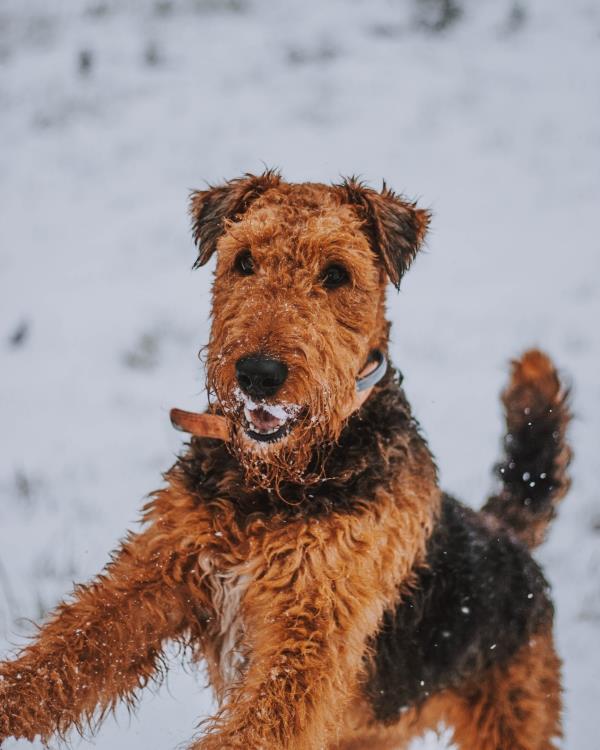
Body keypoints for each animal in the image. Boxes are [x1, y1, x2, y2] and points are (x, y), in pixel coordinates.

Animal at [1, 172, 572, 750]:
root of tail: (506, 533)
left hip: (511, 712)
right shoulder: (160, 570)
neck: (274, 487)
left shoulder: (311, 631)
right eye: (244, 261)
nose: (258, 373)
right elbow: (67, 653)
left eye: (337, 273)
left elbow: (259, 723)